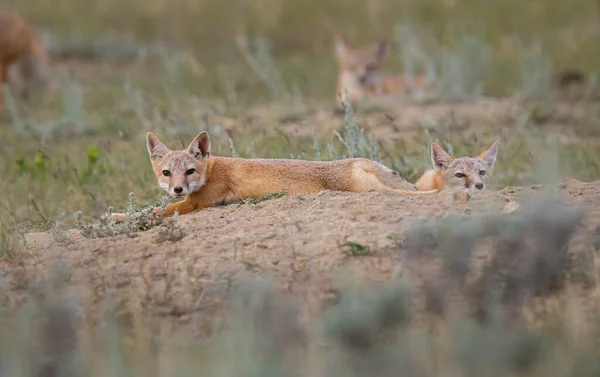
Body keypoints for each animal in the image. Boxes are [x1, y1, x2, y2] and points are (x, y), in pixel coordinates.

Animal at [111, 131, 436, 220]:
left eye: (190, 171)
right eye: (167, 173)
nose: (178, 189)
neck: (213, 168)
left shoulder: (197, 203)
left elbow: (156, 211)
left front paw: (119, 217)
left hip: (367, 189)